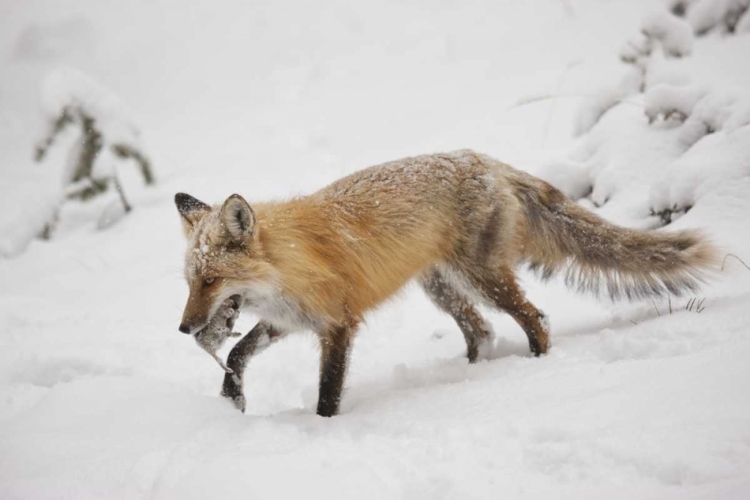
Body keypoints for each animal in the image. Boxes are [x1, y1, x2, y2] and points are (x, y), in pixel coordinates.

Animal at [175, 150, 716, 416]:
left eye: (211, 280)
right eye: (189, 282)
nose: (183, 330)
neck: (289, 264)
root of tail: (487, 160)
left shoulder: (338, 325)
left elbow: (328, 393)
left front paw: (320, 430)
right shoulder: (288, 320)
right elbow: (238, 353)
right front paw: (231, 401)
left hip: (481, 277)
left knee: (535, 318)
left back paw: (535, 370)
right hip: (442, 288)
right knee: (481, 331)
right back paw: (467, 378)